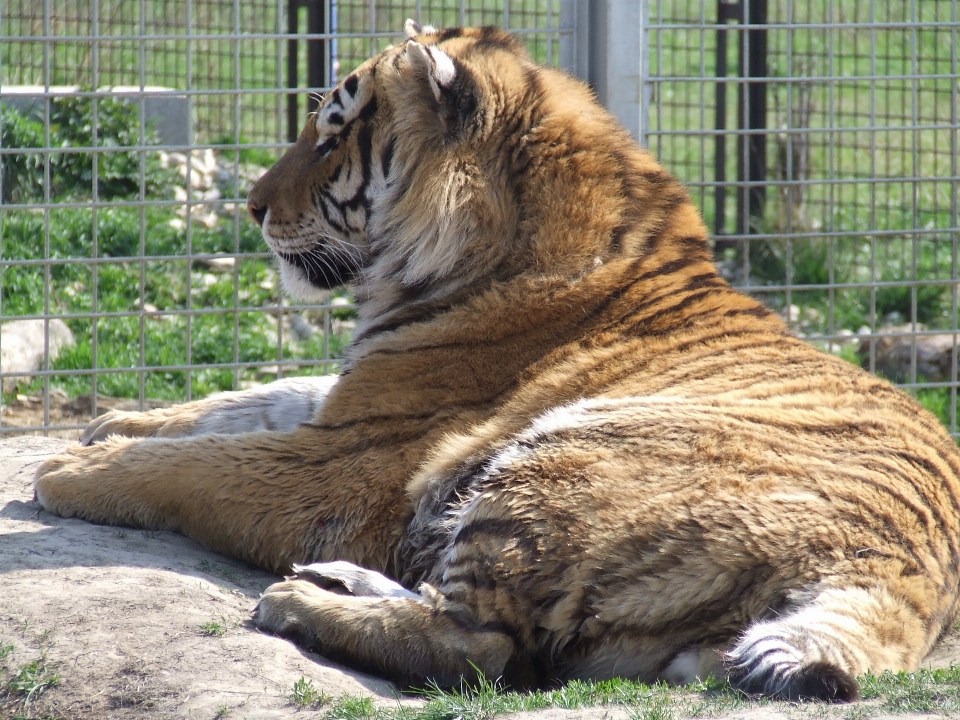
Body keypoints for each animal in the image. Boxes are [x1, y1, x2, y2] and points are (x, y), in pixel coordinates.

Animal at [33, 23, 960, 704]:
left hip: (558, 463)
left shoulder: (354, 462)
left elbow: (208, 463)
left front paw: (72, 472)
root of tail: (902, 574)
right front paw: (114, 423)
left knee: (481, 650)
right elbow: (251, 399)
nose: (254, 208)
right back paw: (334, 580)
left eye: (332, 137)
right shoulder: (355, 396)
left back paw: (299, 601)